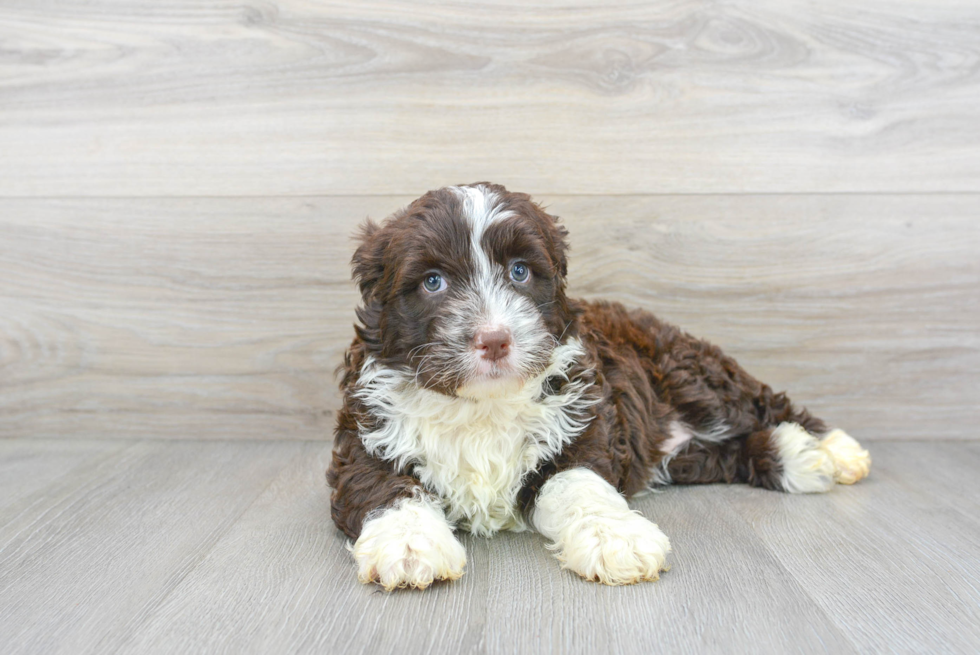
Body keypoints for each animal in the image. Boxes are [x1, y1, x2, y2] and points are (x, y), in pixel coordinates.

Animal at [330, 182, 872, 592]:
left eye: (520, 272)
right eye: (433, 282)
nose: (495, 339)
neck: (482, 406)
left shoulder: (583, 425)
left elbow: (580, 485)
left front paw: (616, 539)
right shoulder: (363, 434)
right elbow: (381, 485)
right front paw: (408, 543)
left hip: (694, 375)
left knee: (762, 402)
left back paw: (835, 449)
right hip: (678, 452)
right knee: (726, 453)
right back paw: (798, 457)